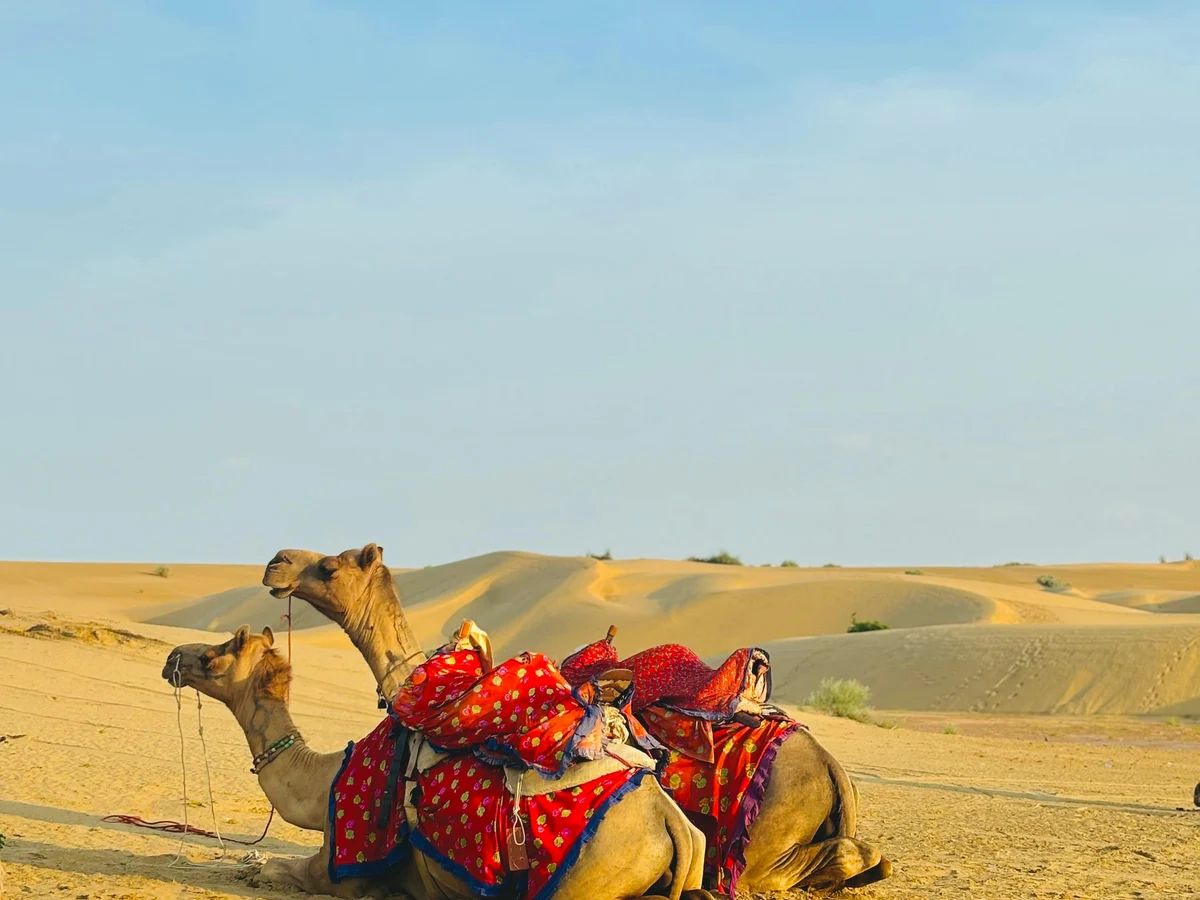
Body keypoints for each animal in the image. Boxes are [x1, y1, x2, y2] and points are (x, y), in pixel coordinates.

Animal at [162, 625, 712, 900]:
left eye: (213, 656)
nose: (173, 658)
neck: (323, 783)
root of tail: (671, 822)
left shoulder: (341, 869)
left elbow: (282, 869)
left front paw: (254, 869)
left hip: (584, 876)